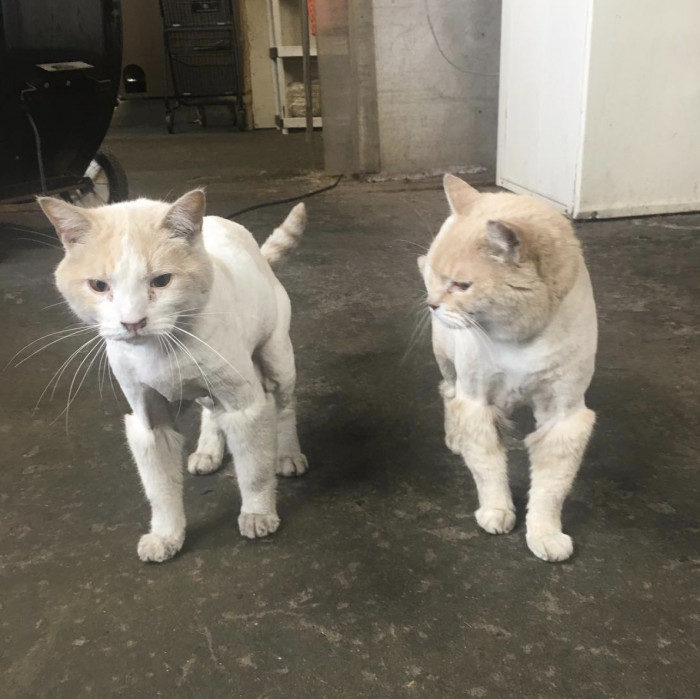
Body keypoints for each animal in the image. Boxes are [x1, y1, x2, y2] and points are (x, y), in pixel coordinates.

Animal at [39, 190, 308, 564]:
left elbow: (254, 470)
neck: (161, 351)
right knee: (211, 410)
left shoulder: (246, 405)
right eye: (98, 286)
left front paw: (258, 513)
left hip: (277, 359)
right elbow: (160, 489)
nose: (132, 322)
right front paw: (166, 535)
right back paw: (208, 450)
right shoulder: (149, 422)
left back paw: (287, 455)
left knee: (284, 406)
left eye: (161, 281)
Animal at [422, 176, 596, 564]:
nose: (432, 304)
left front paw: (545, 534)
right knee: (447, 393)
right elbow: (489, 470)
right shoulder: (477, 403)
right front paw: (497, 511)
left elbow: (550, 489)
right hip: (450, 365)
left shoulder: (563, 416)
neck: (520, 338)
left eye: (461, 285)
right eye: (438, 278)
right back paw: (454, 439)